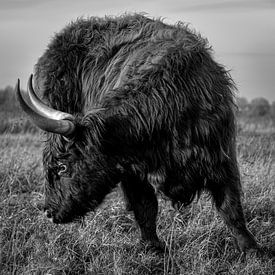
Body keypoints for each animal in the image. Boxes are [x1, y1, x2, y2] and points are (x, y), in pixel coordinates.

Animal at [17, 14, 258, 253]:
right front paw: (152, 246)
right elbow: (146, 206)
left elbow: (230, 205)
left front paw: (251, 249)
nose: (48, 212)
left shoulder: (222, 155)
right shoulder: (130, 169)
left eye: (62, 167)